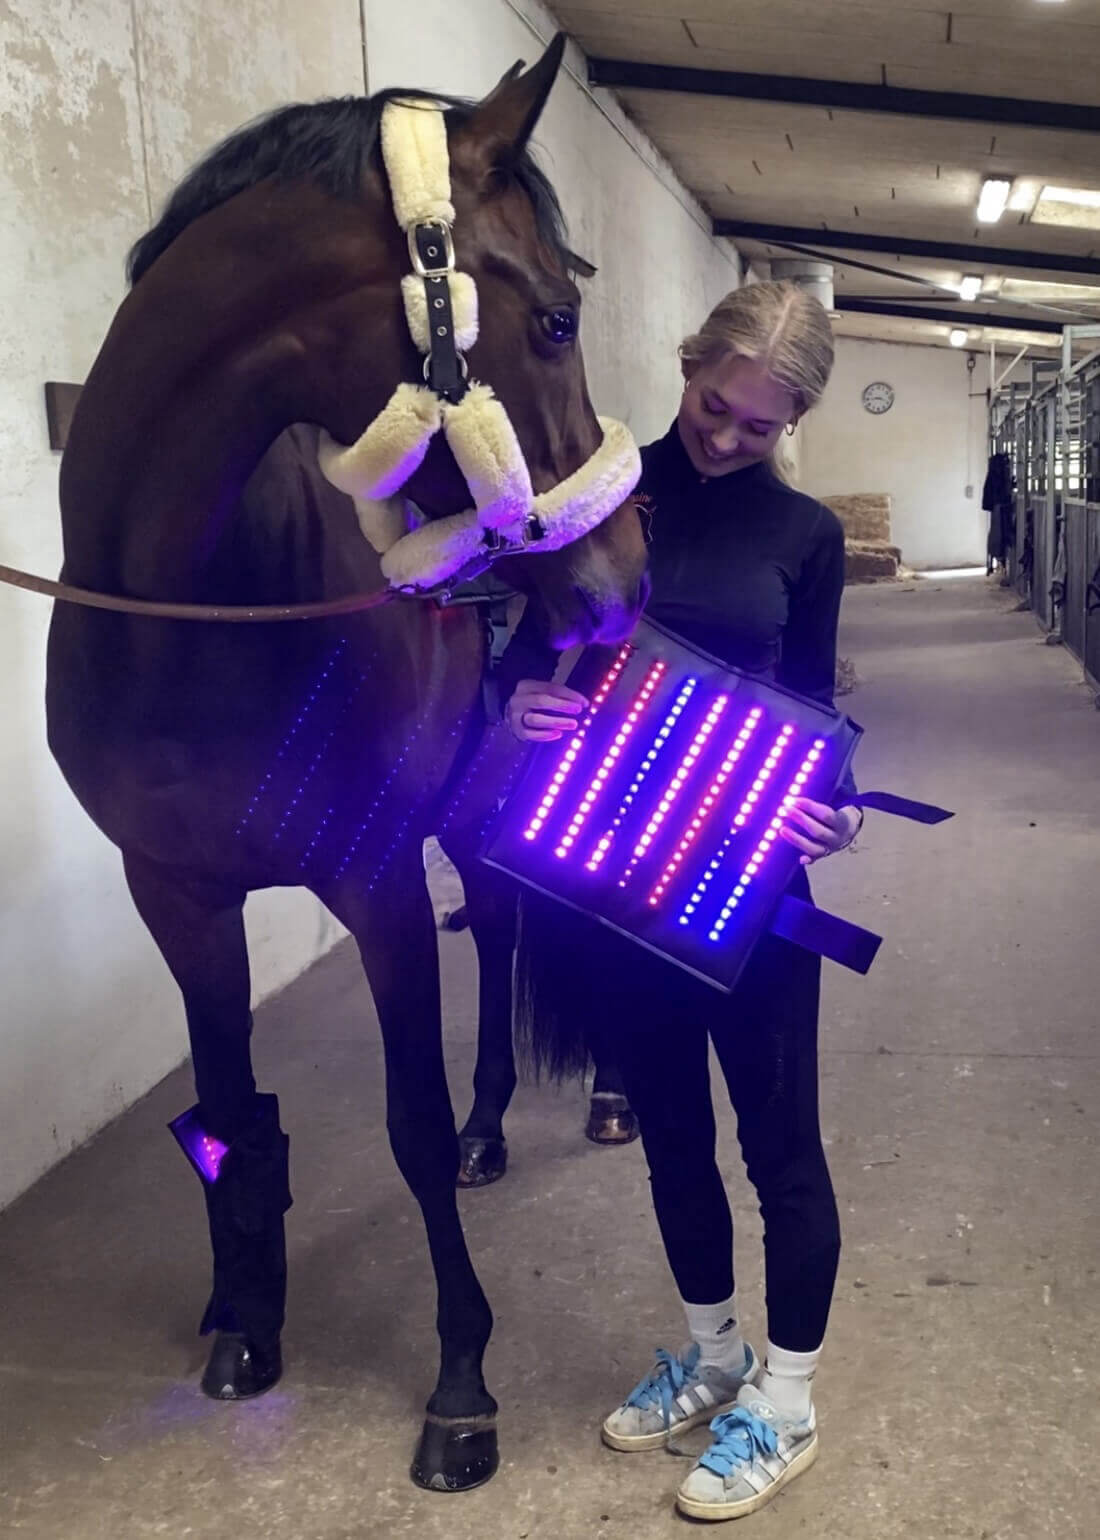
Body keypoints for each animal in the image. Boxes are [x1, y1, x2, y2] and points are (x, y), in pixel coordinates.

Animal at [44, 35, 647, 1493]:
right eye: (555, 318)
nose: (618, 571)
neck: (191, 609)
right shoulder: (178, 895)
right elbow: (227, 1113)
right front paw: (245, 1322)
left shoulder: (371, 881)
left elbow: (406, 1125)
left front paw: (461, 1386)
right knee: (497, 923)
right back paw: (496, 1130)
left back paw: (601, 1099)